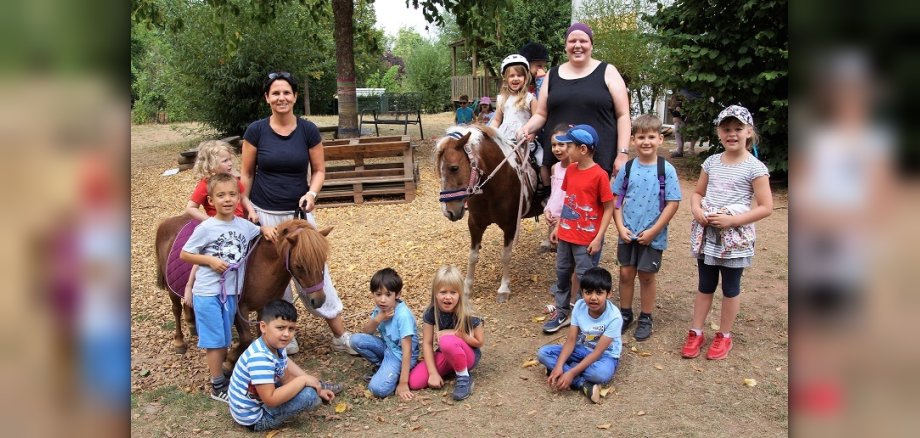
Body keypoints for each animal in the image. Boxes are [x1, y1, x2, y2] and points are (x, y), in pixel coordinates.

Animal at [155, 215, 330, 362]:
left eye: (323, 260)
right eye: (299, 265)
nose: (319, 300)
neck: (261, 264)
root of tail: (167, 222)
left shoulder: (264, 307)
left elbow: (261, 335)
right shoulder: (239, 307)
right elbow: (246, 338)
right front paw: (229, 361)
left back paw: (193, 326)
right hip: (171, 288)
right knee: (176, 309)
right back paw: (179, 341)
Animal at [436, 123, 544, 302]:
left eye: (454, 168)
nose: (448, 211)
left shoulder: (510, 225)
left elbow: (505, 255)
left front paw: (504, 288)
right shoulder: (475, 224)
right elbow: (473, 256)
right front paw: (467, 288)